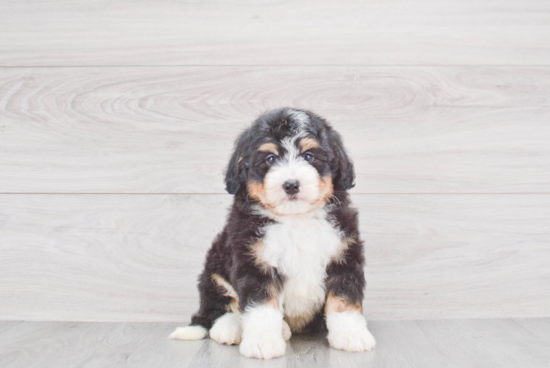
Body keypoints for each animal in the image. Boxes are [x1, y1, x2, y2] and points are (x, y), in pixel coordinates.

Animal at [170, 107, 378, 360]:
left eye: (309, 156)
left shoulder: (343, 255)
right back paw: (232, 328)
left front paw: (351, 335)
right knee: (219, 307)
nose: (291, 184)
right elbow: (261, 307)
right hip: (214, 270)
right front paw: (263, 342)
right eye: (270, 159)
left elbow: (344, 300)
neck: (295, 219)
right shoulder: (255, 261)